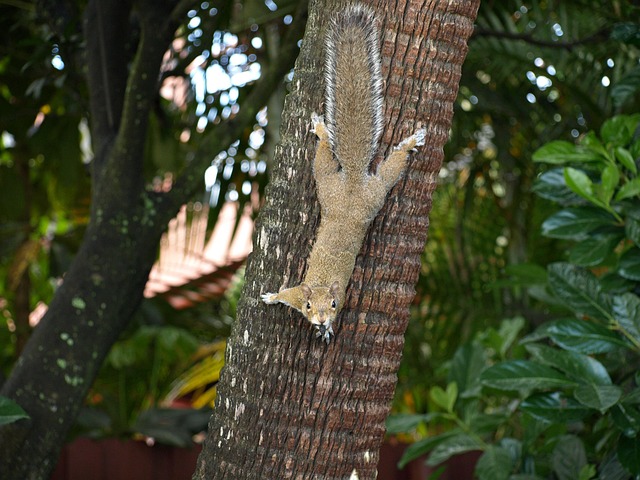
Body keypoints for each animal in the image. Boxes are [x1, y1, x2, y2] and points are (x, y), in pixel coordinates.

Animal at [261, 4, 426, 344]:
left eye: (335, 304)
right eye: (309, 306)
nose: (323, 320)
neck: (323, 284)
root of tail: (351, 181)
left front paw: (327, 330)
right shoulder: (297, 294)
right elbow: (286, 294)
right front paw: (271, 297)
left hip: (370, 193)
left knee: (382, 168)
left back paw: (409, 143)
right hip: (334, 183)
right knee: (330, 158)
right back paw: (325, 130)